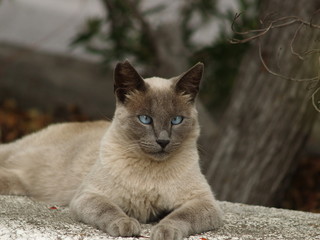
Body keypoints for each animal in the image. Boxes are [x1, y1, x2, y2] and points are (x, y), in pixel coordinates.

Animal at [0, 61, 224, 240]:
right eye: (145, 119)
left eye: (176, 120)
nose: (163, 141)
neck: (149, 172)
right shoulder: (89, 195)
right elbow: (109, 210)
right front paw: (126, 225)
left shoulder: (204, 202)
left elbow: (179, 216)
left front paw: (163, 230)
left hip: (19, 183)